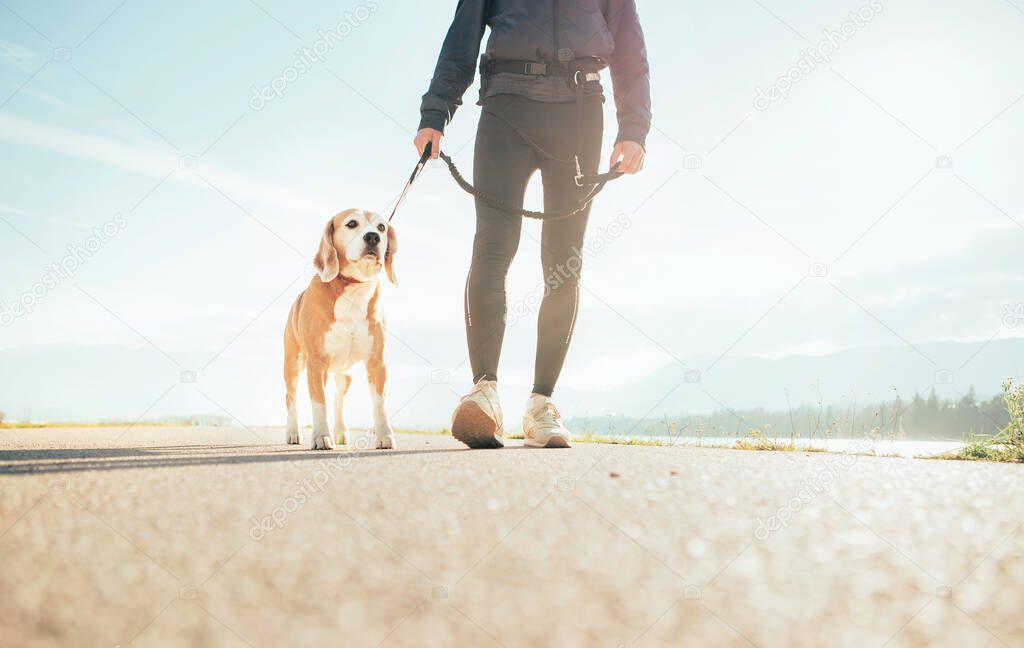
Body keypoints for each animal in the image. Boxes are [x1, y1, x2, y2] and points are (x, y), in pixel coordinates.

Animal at [288, 208, 399, 450]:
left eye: (381, 227)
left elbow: (380, 404)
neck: (354, 288)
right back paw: (292, 432)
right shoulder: (316, 363)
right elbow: (318, 403)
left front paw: (385, 435)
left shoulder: (377, 363)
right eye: (351, 223)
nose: (373, 237)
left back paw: (340, 431)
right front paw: (321, 436)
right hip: (294, 367)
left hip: (344, 374)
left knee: (337, 399)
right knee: (290, 398)